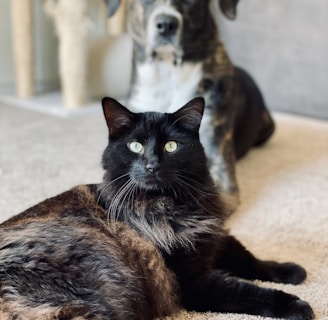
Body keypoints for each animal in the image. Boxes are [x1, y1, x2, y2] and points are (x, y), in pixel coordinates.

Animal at [0, 97, 312, 320]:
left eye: (172, 146)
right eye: (135, 146)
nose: (152, 165)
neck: (175, 204)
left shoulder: (212, 238)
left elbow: (252, 260)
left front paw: (290, 271)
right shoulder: (194, 282)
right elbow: (249, 292)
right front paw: (297, 305)